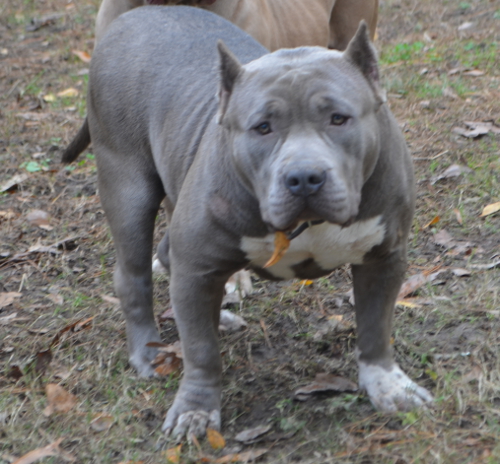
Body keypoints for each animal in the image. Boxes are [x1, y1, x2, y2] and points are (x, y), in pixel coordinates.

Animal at [63, 6, 434, 438]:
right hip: (127, 187)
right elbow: (201, 350)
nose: (304, 177)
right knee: (134, 276)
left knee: (172, 264)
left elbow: (376, 327)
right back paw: (147, 352)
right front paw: (196, 409)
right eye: (262, 127)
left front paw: (388, 385)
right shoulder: (196, 264)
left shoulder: (384, 257)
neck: (307, 224)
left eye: (339, 118)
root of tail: (136, 15)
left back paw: (216, 317)